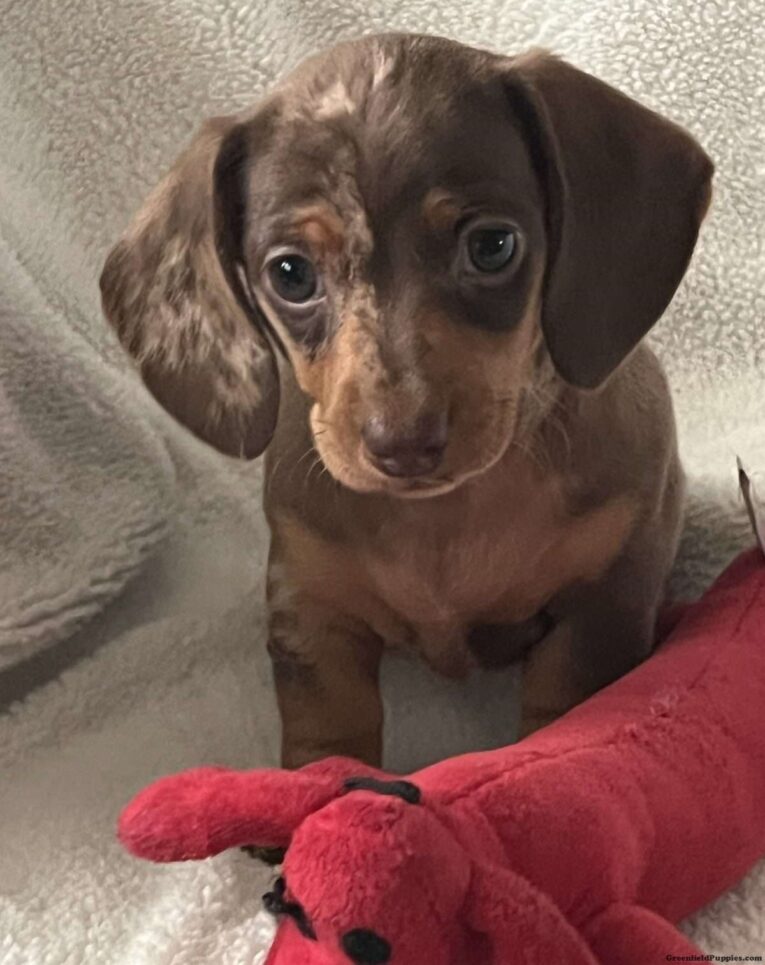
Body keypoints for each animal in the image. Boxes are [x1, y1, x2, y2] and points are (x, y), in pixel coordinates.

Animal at [100, 32, 712, 768]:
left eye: (493, 245)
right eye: (290, 274)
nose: (403, 446)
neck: (446, 519)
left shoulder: (605, 596)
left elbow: (567, 711)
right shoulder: (309, 606)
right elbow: (329, 727)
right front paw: (318, 790)